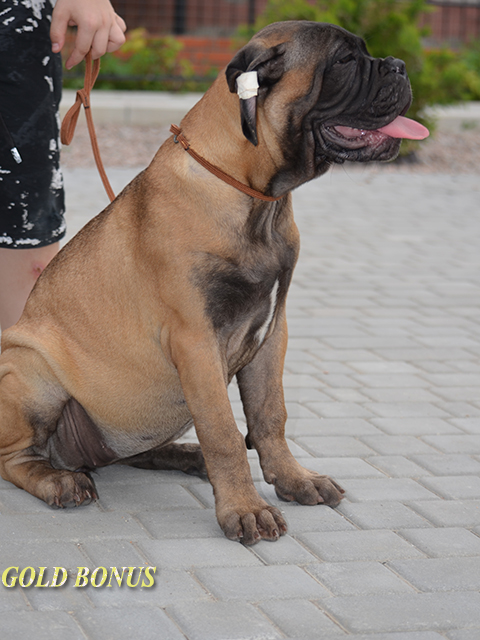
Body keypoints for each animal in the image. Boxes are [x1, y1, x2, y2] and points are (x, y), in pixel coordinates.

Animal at [0, 23, 428, 544]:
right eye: (345, 61)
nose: (399, 66)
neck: (256, 198)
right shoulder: (197, 340)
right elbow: (224, 430)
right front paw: (245, 509)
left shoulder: (272, 333)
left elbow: (269, 416)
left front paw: (293, 479)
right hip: (32, 372)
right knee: (16, 460)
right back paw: (59, 481)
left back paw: (183, 455)